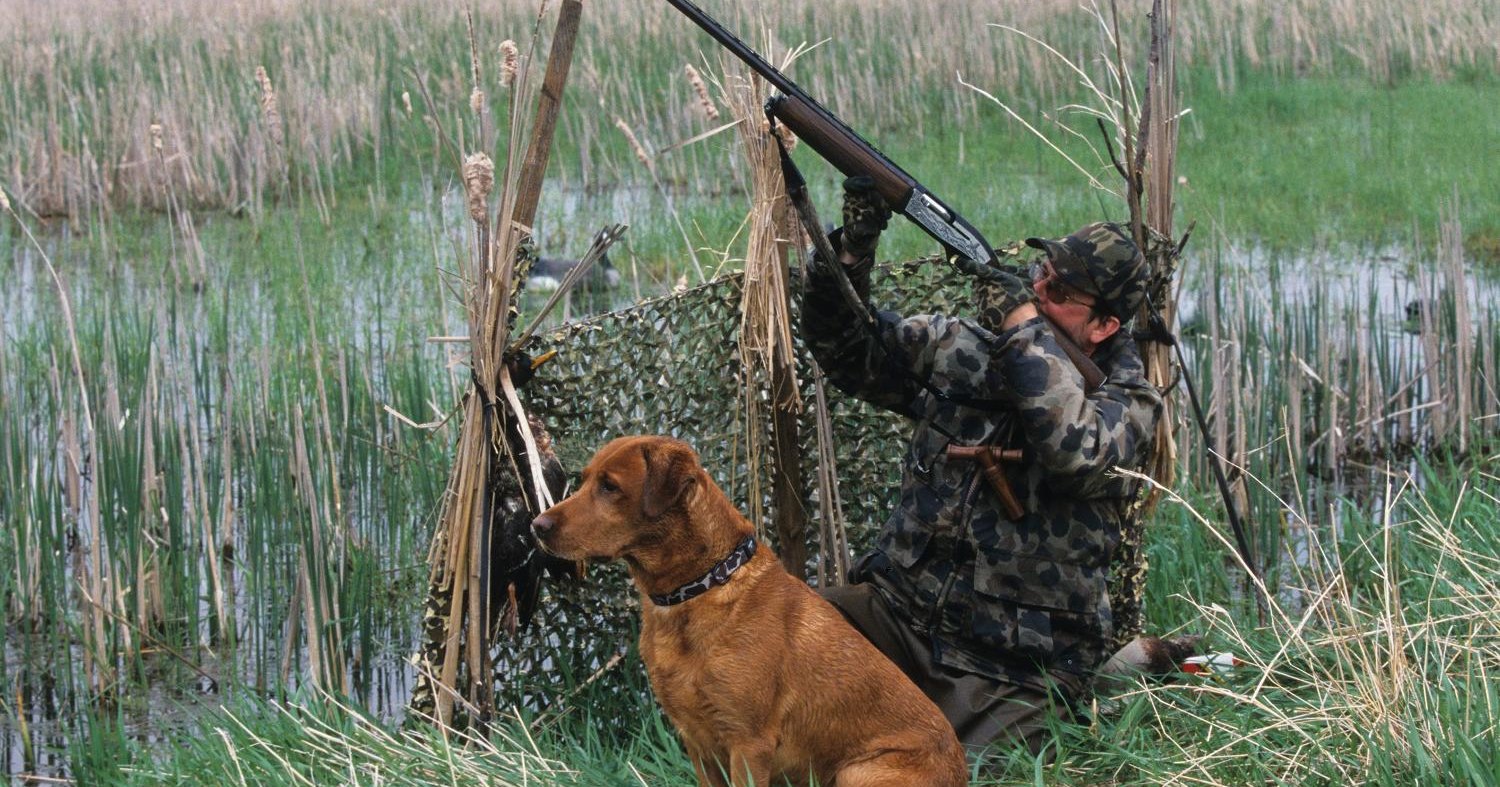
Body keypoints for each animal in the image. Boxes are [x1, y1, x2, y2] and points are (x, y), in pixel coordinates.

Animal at [534, 434, 966, 785]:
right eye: (584, 479)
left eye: (609, 487)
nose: (537, 525)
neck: (698, 589)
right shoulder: (697, 743)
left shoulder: (748, 743)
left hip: (859, 771)